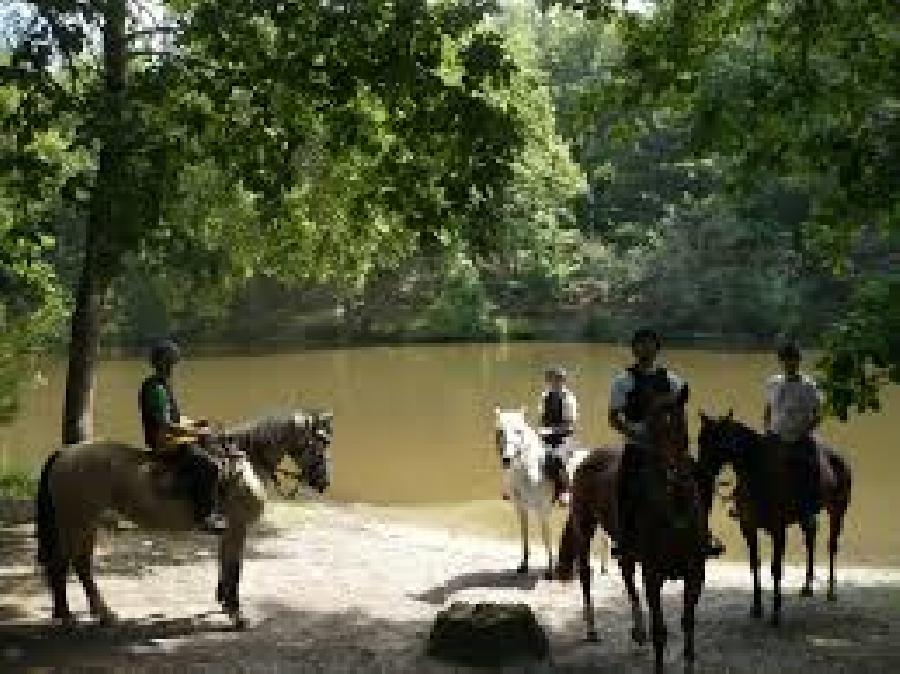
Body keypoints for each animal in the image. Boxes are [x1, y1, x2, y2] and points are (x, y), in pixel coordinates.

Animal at [35, 406, 332, 628]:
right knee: (62, 564)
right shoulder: (238, 527)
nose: (324, 482)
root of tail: (66, 452)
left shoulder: (230, 530)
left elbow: (224, 564)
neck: (246, 462)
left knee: (82, 565)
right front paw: (236, 614)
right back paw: (67, 617)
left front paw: (224, 602)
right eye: (321, 444)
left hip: (88, 524)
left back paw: (103, 614)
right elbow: (235, 568)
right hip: (75, 522)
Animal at [492, 406, 612, 580]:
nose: (506, 459)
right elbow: (524, 536)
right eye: (500, 431)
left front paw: (549, 571)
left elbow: (546, 538)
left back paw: (604, 568)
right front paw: (523, 565)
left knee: (605, 538)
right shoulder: (521, 509)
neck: (528, 471)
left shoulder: (543, 511)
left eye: (518, 431)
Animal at [696, 410, 852, 624]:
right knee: (810, 539)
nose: (700, 475)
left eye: (716, 442)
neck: (758, 477)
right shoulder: (748, 528)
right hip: (807, 517)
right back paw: (807, 587)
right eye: (700, 440)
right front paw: (756, 607)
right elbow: (755, 565)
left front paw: (776, 613)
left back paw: (830, 591)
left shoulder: (778, 530)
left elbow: (776, 568)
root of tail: (839, 459)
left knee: (832, 545)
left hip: (837, 510)